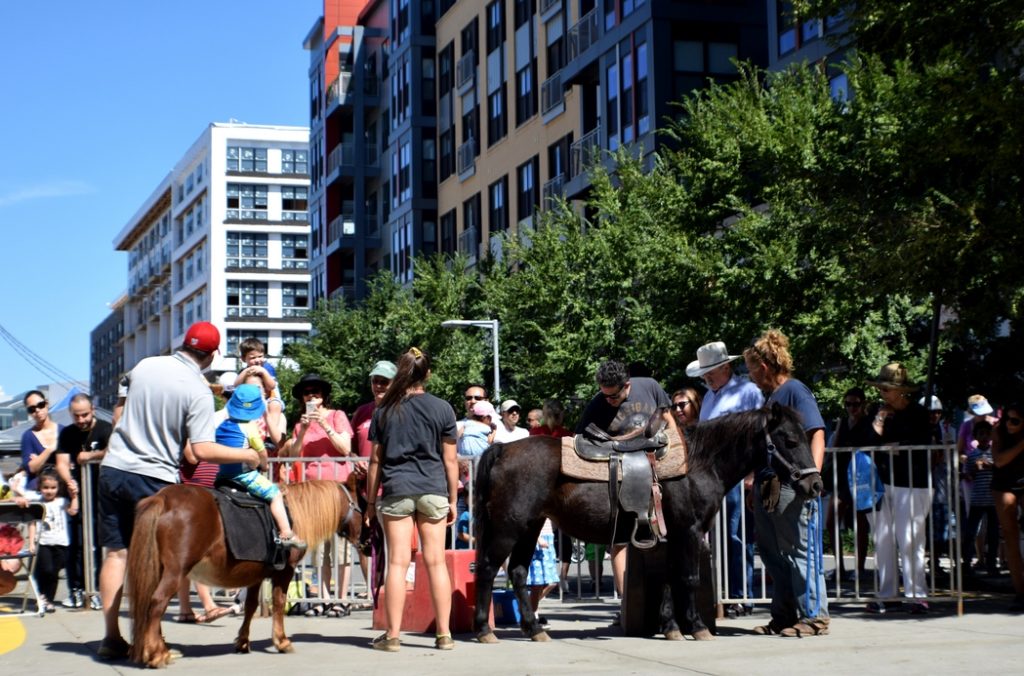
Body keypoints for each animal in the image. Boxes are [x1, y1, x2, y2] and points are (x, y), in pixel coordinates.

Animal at [127, 480, 363, 667]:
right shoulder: (285, 571)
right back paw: (156, 654)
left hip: (159, 569)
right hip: (176, 571)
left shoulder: (255, 574)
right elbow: (279, 602)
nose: (365, 538)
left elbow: (250, 606)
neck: (293, 512)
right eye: (361, 504)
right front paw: (281, 641)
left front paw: (242, 641)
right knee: (157, 603)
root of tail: (163, 499)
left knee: (149, 603)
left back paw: (157, 647)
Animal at [471, 402, 823, 643]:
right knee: (488, 569)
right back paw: (484, 630)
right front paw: (697, 627)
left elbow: (668, 578)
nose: (816, 485)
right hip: (508, 528)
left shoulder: (672, 536)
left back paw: (533, 629)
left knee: (518, 572)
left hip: (530, 527)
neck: (698, 462)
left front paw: (671, 627)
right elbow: (688, 578)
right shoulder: (690, 531)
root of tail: (501, 450)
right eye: (789, 441)